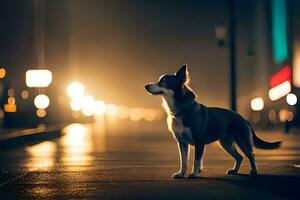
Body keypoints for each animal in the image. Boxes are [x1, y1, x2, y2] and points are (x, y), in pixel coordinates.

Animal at [145, 64, 282, 178]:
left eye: (163, 81)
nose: (146, 85)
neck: (182, 109)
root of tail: (244, 119)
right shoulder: (182, 142)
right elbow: (183, 161)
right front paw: (181, 173)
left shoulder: (199, 142)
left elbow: (196, 160)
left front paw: (194, 173)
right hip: (226, 143)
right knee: (239, 157)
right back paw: (234, 170)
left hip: (242, 140)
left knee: (251, 155)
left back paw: (253, 171)